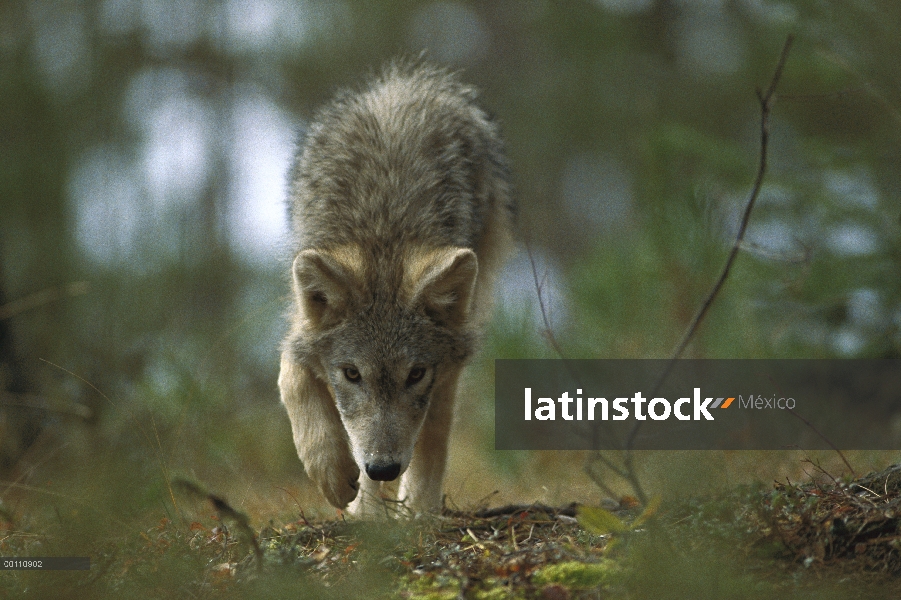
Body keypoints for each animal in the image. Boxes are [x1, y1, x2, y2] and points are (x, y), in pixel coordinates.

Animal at [278, 62, 512, 516]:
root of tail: (404, 81)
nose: (383, 468)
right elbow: (292, 377)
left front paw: (417, 511)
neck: (385, 237)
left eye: (415, 373)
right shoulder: (299, 323)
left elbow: (432, 438)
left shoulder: (444, 368)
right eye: (352, 374)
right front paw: (334, 475)